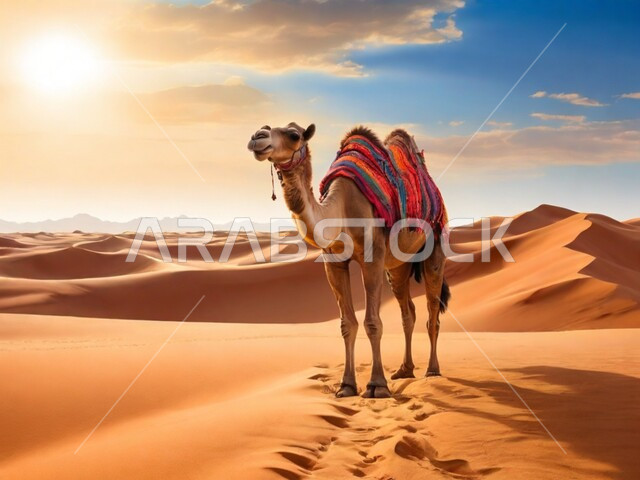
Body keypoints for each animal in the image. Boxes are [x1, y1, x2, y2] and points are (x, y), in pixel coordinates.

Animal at [247, 122, 450, 398]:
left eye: (294, 135)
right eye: (266, 127)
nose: (257, 137)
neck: (341, 209)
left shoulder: (373, 258)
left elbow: (372, 322)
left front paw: (377, 386)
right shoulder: (333, 262)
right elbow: (347, 324)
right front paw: (347, 385)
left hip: (434, 246)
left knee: (432, 313)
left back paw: (432, 370)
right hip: (399, 264)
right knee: (408, 312)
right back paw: (404, 370)